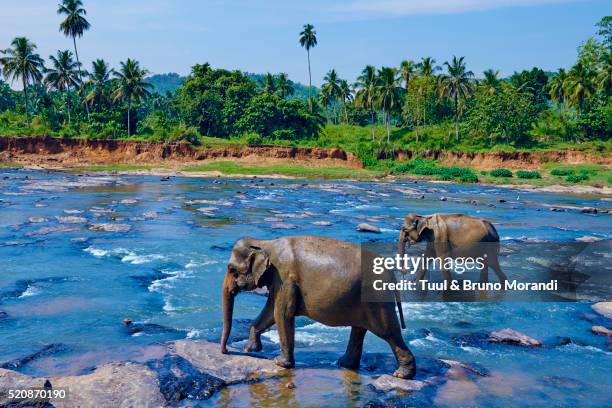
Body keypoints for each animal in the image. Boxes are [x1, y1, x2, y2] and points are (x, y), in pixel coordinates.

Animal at [220, 236, 416, 380]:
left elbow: (281, 314)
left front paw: (280, 363)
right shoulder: (277, 281)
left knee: (388, 331)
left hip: (376, 298)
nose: (226, 351)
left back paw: (401, 375)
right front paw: (250, 349)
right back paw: (343, 364)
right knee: (359, 329)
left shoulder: (285, 278)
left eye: (231, 269)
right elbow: (270, 312)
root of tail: (390, 272)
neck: (265, 243)